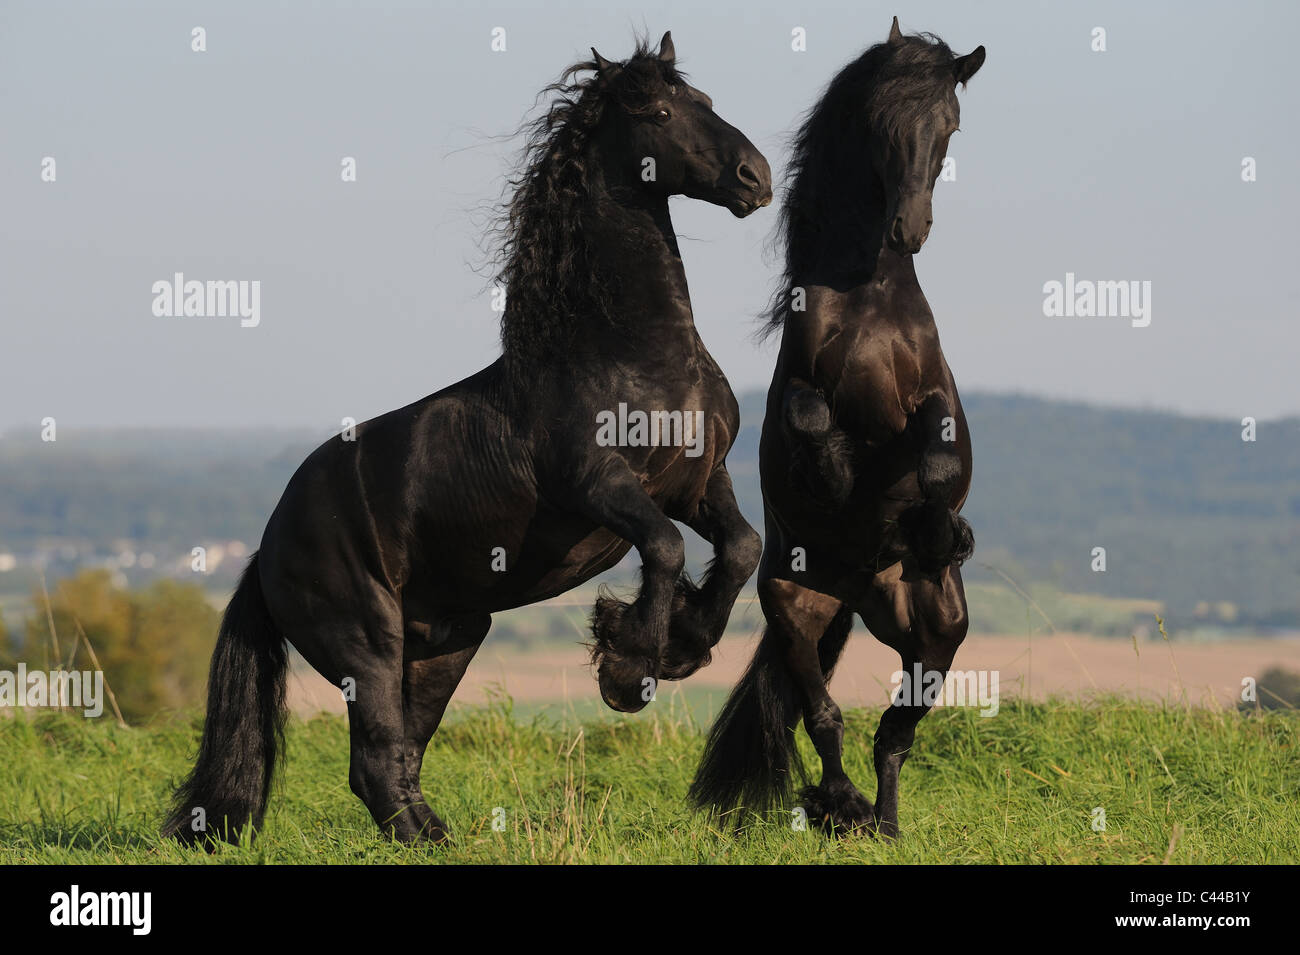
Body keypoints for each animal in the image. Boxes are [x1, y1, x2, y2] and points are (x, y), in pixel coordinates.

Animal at [163, 31, 771, 847]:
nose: (755, 177)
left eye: (705, 101)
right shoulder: (599, 485)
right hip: (366, 641)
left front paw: (682, 646)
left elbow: (741, 548)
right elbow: (668, 549)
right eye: (662, 112)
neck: (631, 352)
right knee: (377, 752)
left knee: (400, 753)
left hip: (448, 639)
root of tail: (267, 548)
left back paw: (438, 834)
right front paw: (627, 668)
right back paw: (429, 835)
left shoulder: (701, 482)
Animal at [690, 18, 984, 839]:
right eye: (881, 126)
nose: (909, 229)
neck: (872, 298)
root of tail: (858, 591)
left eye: (950, 125)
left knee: (896, 731)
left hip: (937, 630)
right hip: (796, 610)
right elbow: (811, 416)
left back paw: (885, 822)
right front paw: (833, 480)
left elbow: (939, 459)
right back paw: (842, 805)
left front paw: (941, 529)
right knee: (825, 719)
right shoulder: (801, 387)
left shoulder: (937, 400)